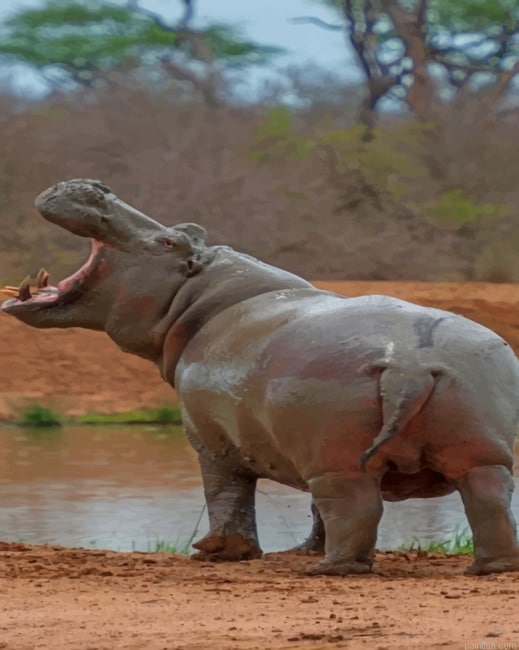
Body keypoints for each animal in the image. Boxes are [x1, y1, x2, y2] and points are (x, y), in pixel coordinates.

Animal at [3, 178, 519, 576]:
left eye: (169, 241)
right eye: (184, 231)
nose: (97, 187)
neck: (195, 296)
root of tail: (409, 364)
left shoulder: (209, 440)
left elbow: (226, 493)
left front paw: (217, 554)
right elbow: (310, 511)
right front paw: (297, 549)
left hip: (339, 461)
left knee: (355, 506)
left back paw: (328, 570)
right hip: (477, 448)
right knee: (487, 500)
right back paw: (486, 568)